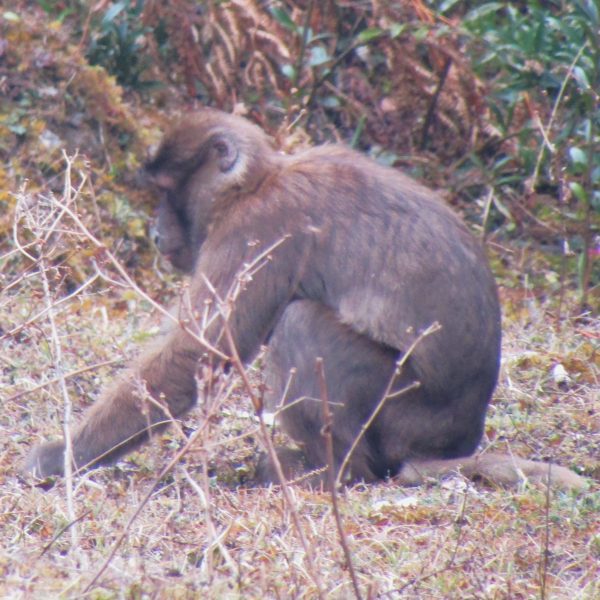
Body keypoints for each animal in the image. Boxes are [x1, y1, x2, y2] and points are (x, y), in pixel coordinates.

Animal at [25, 109, 588, 492]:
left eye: (167, 190)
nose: (156, 230)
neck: (257, 182)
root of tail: (452, 439)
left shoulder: (254, 231)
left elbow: (196, 353)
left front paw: (63, 456)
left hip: (400, 407)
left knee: (300, 326)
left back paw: (331, 475)